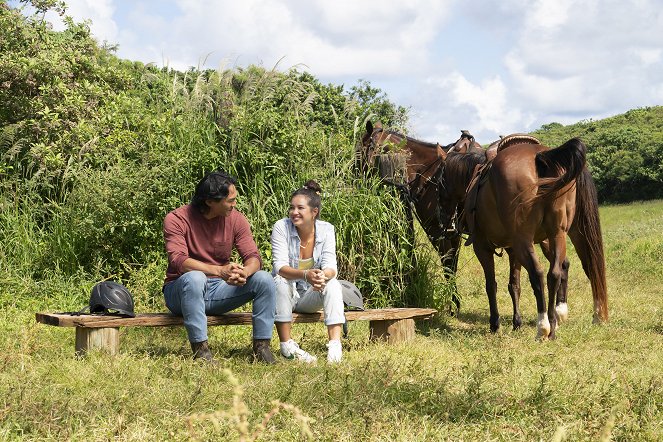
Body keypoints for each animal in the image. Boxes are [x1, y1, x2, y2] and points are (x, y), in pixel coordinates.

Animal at [438, 135, 608, 338]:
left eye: (439, 182)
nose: (442, 217)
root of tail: (541, 156)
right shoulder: (513, 249)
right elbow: (514, 285)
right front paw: (516, 322)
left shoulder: (482, 247)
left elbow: (491, 285)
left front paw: (495, 324)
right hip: (556, 235)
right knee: (557, 272)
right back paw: (555, 323)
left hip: (526, 240)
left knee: (539, 273)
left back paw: (543, 326)